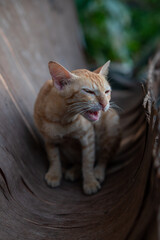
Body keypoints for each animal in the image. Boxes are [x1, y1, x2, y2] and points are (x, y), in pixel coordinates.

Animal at [34, 60, 121, 195]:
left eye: (107, 92)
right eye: (89, 92)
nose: (105, 104)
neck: (63, 120)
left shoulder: (88, 137)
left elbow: (88, 160)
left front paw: (90, 181)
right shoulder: (49, 139)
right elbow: (53, 156)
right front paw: (55, 174)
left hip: (112, 125)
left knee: (104, 156)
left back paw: (97, 172)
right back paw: (72, 170)